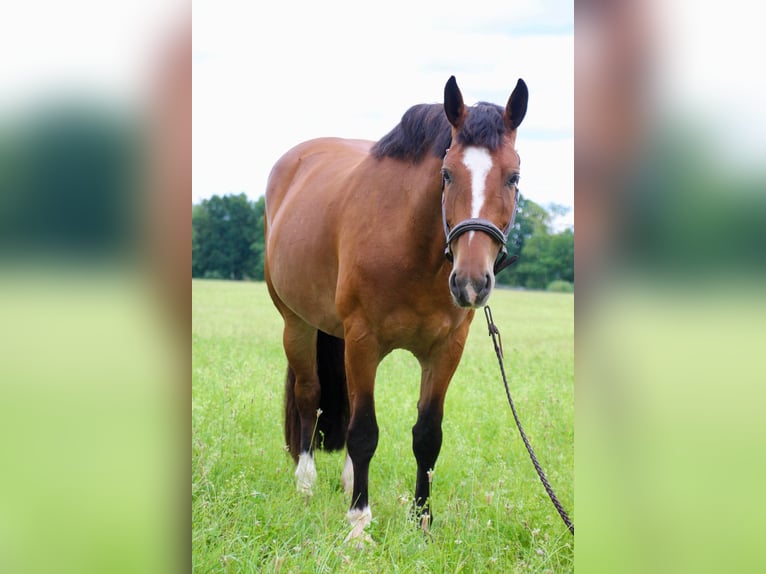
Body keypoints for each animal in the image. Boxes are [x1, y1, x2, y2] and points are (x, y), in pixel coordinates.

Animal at [264, 76, 528, 544]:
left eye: (513, 177)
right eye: (447, 174)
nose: (471, 282)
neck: (410, 245)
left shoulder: (446, 350)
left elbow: (427, 435)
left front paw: (422, 521)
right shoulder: (363, 340)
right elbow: (364, 432)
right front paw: (359, 523)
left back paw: (349, 481)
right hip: (297, 325)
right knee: (309, 397)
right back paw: (306, 483)